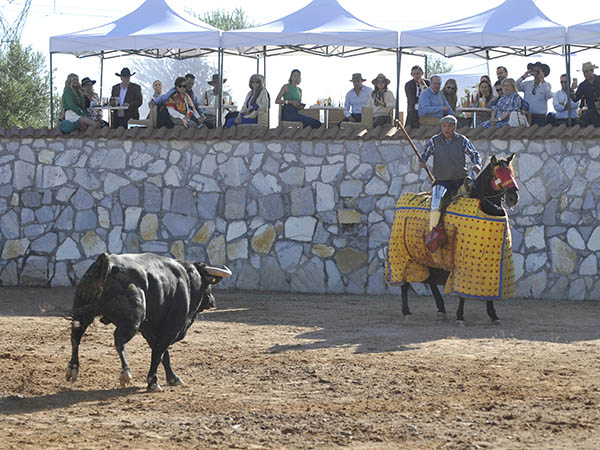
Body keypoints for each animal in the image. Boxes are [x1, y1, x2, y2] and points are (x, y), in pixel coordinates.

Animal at [66, 253, 232, 390]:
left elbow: (163, 354)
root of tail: (107, 262)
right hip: (132, 321)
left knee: (76, 335)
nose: (212, 301)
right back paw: (126, 372)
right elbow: (159, 352)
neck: (188, 278)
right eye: (208, 284)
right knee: (118, 340)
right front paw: (153, 382)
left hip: (83, 311)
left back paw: (72, 369)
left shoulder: (150, 329)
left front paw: (173, 378)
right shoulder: (172, 326)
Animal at [396, 154, 516, 324]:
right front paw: (460, 316)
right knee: (404, 283)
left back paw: (441, 309)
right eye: (497, 174)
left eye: (512, 173)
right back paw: (407, 312)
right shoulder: (462, 264)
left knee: (431, 279)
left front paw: (493, 315)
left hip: (428, 256)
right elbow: (461, 291)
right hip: (403, 255)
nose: (513, 198)